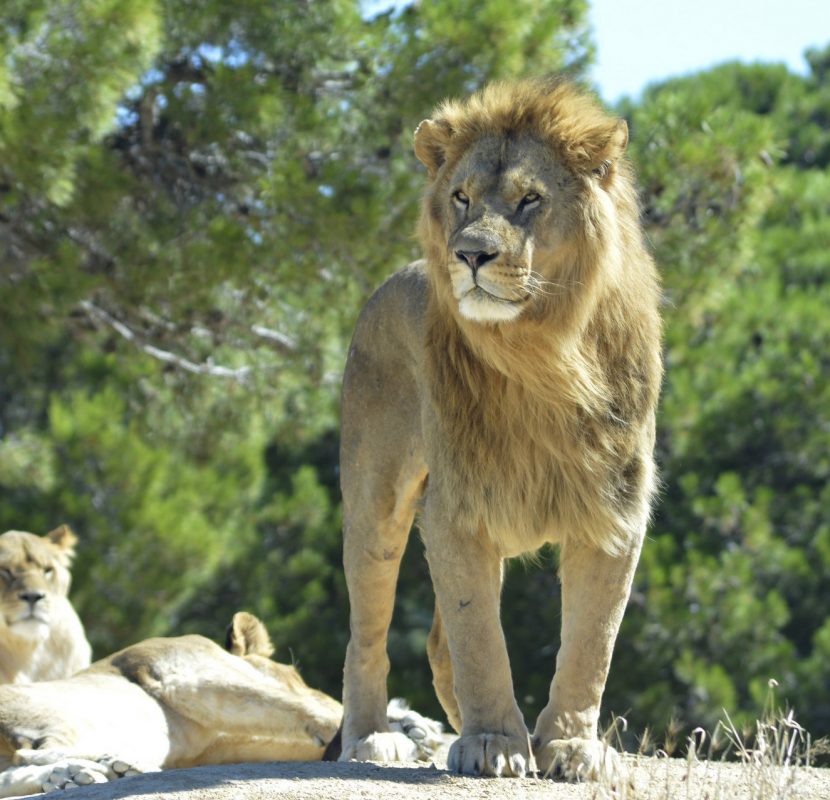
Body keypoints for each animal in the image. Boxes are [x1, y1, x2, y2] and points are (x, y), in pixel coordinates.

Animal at [0, 612, 442, 792]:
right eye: (296, 674)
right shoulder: (191, 674)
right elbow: (318, 708)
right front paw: (398, 737)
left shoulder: (229, 742)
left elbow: (321, 725)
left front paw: (414, 726)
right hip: (52, 717)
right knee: (34, 753)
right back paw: (108, 766)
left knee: (15, 770)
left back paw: (80, 775)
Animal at [338, 81, 664, 780]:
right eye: (461, 197)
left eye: (529, 199)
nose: (469, 253)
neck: (542, 355)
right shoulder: (457, 507)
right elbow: (479, 637)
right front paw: (493, 742)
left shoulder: (614, 511)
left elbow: (591, 645)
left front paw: (570, 745)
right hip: (376, 506)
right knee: (367, 632)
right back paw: (372, 737)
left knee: (438, 642)